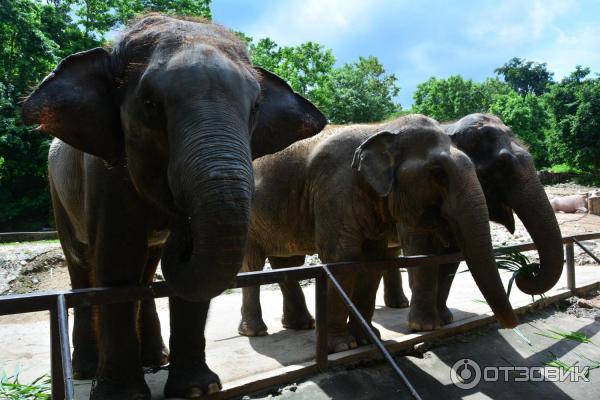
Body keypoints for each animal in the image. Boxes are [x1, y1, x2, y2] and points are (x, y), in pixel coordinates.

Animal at [21, 14, 326, 400]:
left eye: (256, 106)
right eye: (150, 104)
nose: (181, 232)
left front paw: (198, 389)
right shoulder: (104, 172)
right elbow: (117, 265)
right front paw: (123, 395)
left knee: (146, 270)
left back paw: (156, 358)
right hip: (57, 192)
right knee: (83, 265)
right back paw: (87, 369)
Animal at [237, 114, 516, 352]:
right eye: (438, 173)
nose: (511, 325)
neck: (381, 129)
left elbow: (372, 262)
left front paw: (369, 340)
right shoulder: (333, 189)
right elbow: (340, 260)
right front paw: (342, 346)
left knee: (287, 263)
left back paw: (301, 325)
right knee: (253, 265)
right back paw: (255, 332)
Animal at [382, 113, 564, 332]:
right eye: (502, 165)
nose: (528, 270)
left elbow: (452, 255)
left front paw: (445, 320)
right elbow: (420, 248)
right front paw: (424, 327)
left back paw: (398, 304)